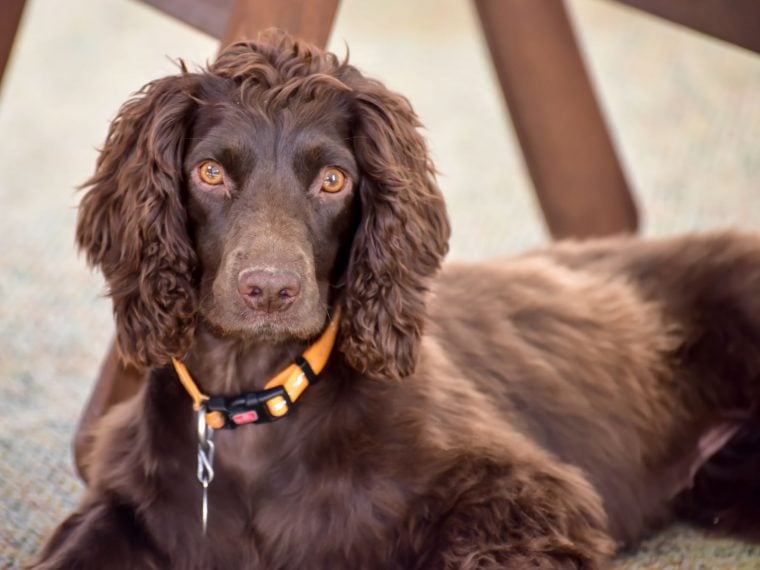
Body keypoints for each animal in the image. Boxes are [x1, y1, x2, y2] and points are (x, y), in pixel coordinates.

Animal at [32, 32, 760, 568]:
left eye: (333, 180)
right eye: (210, 172)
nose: (270, 291)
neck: (256, 403)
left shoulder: (527, 496)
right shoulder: (128, 502)